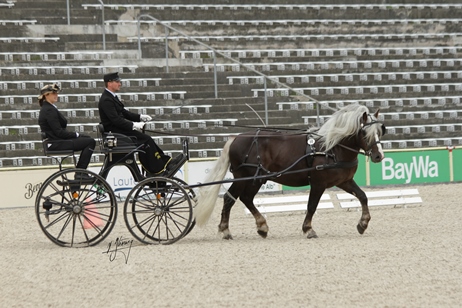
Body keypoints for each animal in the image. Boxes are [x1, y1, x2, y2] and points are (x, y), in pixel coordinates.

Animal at [194, 104, 386, 239]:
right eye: (364, 133)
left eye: (380, 131)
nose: (379, 156)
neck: (331, 148)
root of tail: (235, 138)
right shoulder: (318, 183)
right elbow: (311, 206)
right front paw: (308, 229)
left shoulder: (344, 181)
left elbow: (363, 196)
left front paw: (363, 224)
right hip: (246, 177)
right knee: (231, 198)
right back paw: (226, 230)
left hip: (256, 179)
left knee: (245, 198)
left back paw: (261, 227)